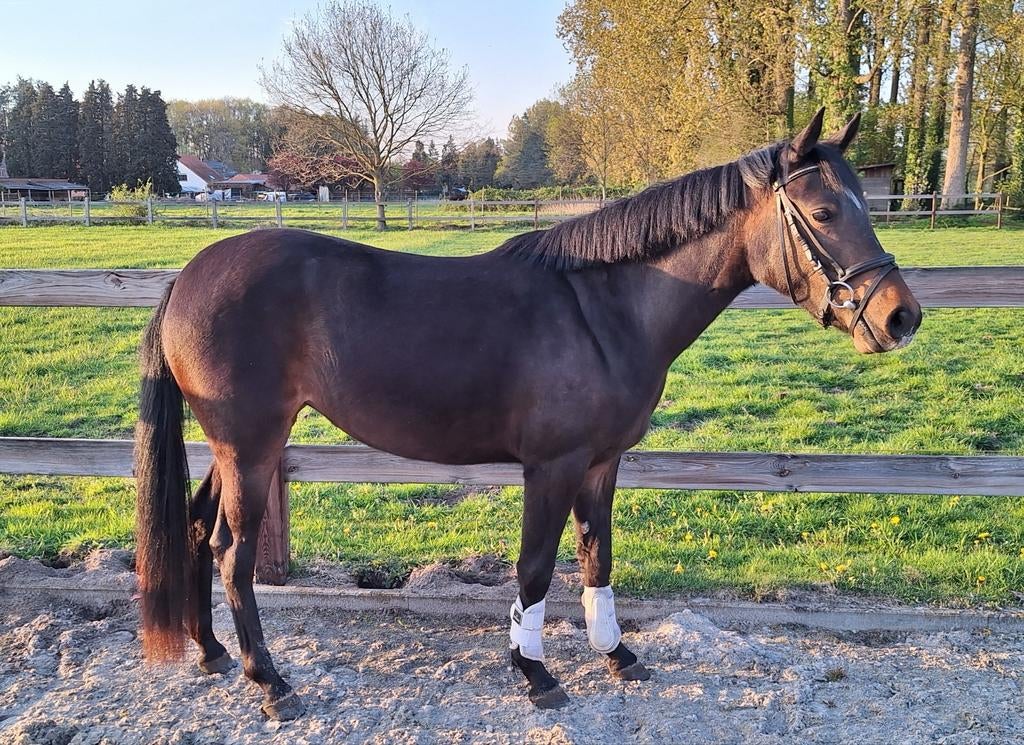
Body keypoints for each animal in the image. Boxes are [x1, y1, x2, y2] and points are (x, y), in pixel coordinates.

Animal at [134, 109, 922, 719]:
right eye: (823, 212)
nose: (900, 316)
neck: (604, 308)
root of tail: (189, 276)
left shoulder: (603, 463)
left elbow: (597, 556)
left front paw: (617, 654)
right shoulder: (552, 466)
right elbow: (537, 567)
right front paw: (535, 670)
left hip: (236, 447)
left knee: (200, 529)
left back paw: (210, 651)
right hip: (251, 445)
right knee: (233, 552)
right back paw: (268, 680)